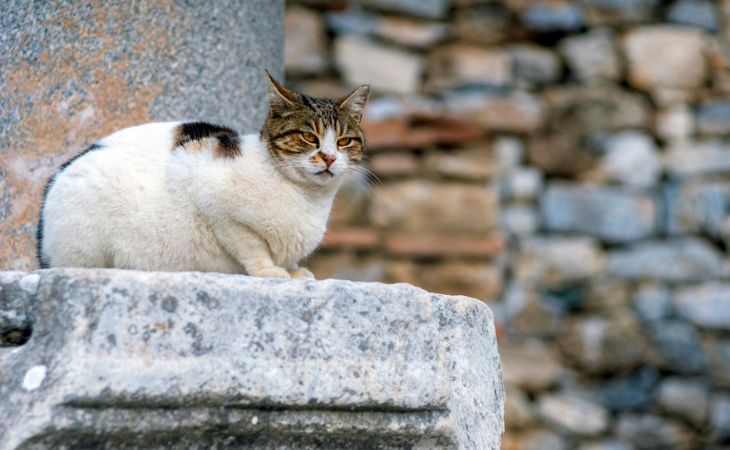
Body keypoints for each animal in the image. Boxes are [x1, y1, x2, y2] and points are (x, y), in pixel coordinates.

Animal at [38, 74, 370, 278]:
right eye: (308, 137)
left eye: (344, 141)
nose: (329, 157)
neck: (310, 199)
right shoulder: (213, 197)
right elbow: (251, 245)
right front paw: (270, 271)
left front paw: (294, 268)